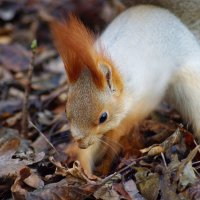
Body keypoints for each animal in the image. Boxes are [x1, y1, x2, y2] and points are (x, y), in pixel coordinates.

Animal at [51, 4, 200, 173]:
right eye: (66, 111)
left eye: (103, 117)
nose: (81, 143)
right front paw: (85, 167)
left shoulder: (145, 98)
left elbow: (122, 129)